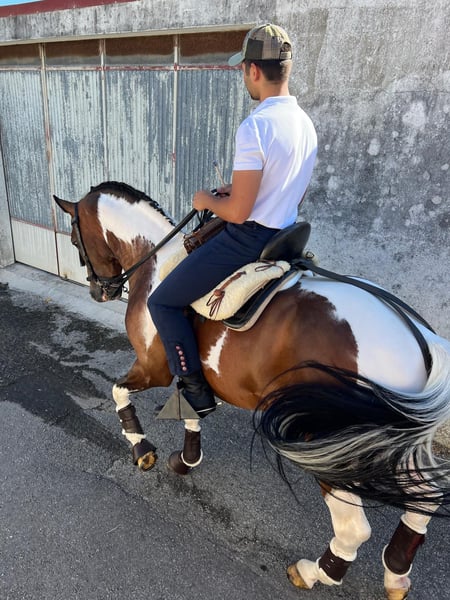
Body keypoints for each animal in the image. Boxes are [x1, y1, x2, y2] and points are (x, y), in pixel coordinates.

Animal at [54, 181, 450, 599]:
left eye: (75, 238)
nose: (99, 291)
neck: (158, 261)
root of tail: (420, 340)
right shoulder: (192, 372)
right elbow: (193, 409)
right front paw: (187, 459)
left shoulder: (152, 368)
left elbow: (119, 393)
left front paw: (141, 448)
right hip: (398, 437)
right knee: (425, 497)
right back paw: (396, 572)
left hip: (324, 441)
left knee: (354, 529)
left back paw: (314, 572)